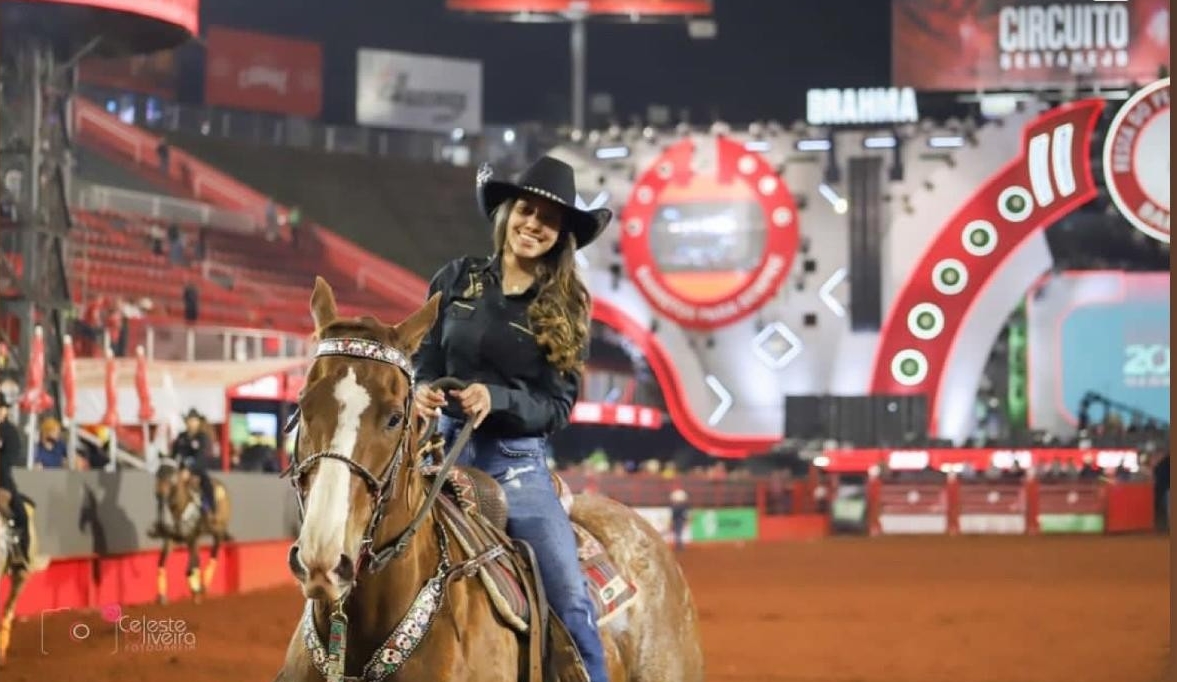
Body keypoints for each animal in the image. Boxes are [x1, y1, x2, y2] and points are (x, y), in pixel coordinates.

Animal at [154, 464, 231, 603]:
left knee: (214, 554)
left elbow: (190, 569)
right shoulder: (171, 539)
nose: (158, 493)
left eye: (171, 476)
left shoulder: (192, 537)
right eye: (157, 474)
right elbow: (161, 563)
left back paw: (203, 585)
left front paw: (196, 590)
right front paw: (162, 597)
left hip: (218, 532)